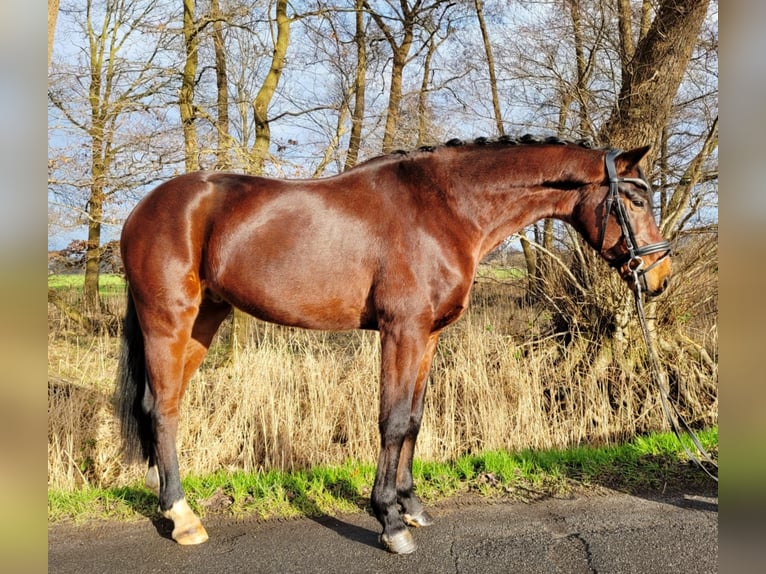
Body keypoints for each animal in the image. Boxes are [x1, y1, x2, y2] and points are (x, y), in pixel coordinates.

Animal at [115, 137, 672, 556]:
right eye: (637, 200)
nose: (660, 277)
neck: (445, 208)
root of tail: (143, 207)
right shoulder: (401, 330)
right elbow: (393, 420)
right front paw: (389, 521)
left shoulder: (428, 336)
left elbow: (416, 419)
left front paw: (412, 506)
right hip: (169, 321)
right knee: (162, 408)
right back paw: (182, 517)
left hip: (205, 320)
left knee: (164, 405)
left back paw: (168, 502)